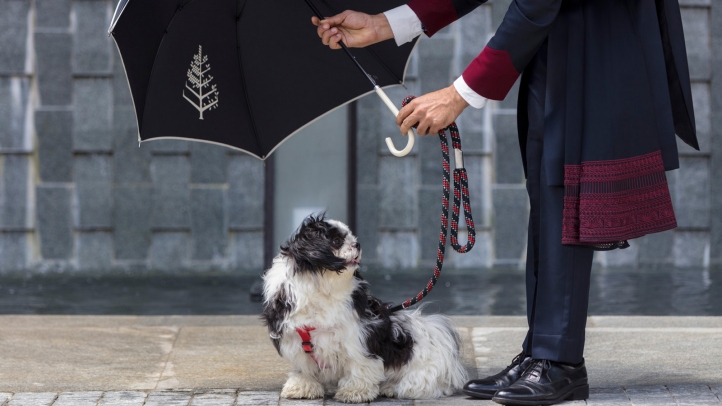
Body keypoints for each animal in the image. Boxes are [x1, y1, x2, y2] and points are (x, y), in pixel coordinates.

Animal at [260, 216, 466, 402]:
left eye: (351, 237)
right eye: (336, 241)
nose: (357, 244)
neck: (322, 287)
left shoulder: (357, 335)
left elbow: (359, 363)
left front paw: (355, 391)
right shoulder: (295, 338)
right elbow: (304, 367)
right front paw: (303, 386)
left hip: (419, 373)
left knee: (418, 385)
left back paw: (391, 387)